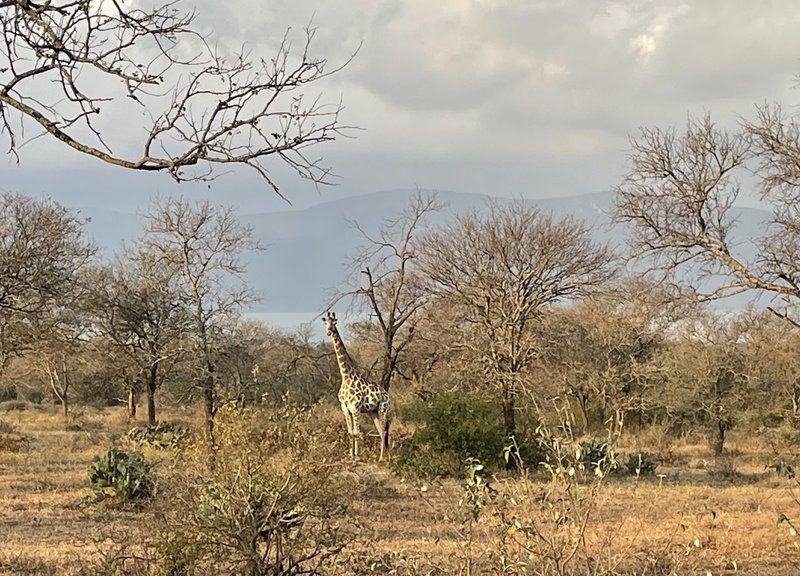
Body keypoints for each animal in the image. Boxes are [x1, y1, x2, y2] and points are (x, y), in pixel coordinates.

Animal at [322, 312, 390, 462]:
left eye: (334, 322)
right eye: (325, 323)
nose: (329, 331)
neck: (346, 376)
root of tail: (388, 395)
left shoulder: (355, 408)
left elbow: (357, 432)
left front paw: (357, 457)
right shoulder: (345, 409)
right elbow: (350, 432)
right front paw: (350, 455)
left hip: (383, 409)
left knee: (384, 431)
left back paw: (382, 458)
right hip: (373, 411)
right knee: (381, 431)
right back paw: (383, 457)